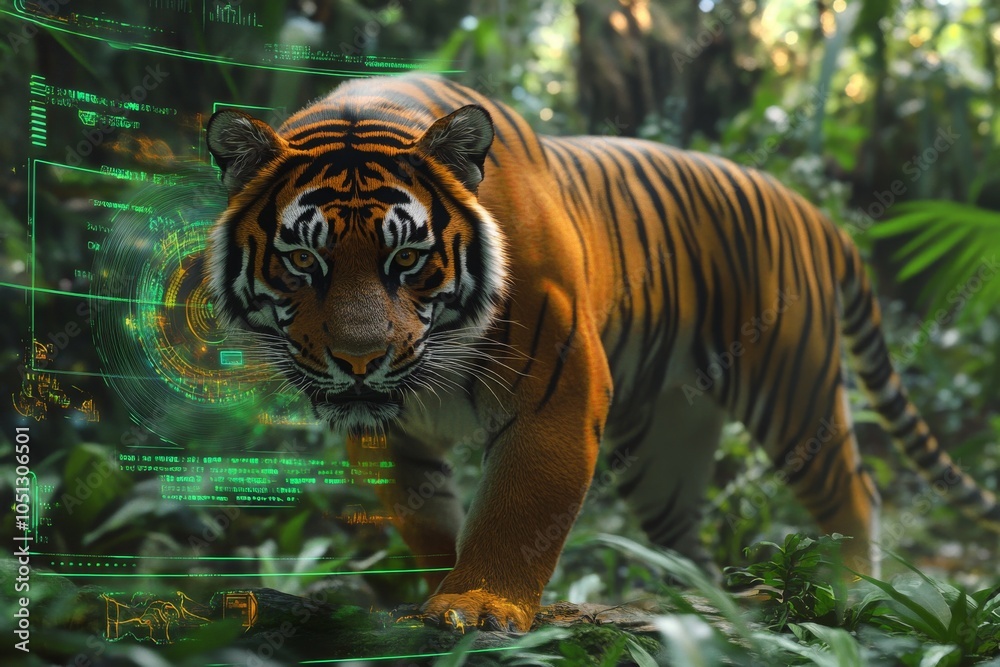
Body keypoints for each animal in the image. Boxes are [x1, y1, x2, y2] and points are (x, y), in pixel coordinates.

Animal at [204, 73, 1000, 633]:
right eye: (304, 260)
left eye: (407, 259)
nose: (360, 361)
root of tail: (816, 215)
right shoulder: (394, 436)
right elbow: (426, 518)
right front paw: (434, 591)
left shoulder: (558, 383)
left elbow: (522, 507)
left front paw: (478, 604)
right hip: (666, 446)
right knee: (686, 533)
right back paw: (696, 604)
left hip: (791, 386)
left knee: (852, 490)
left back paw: (847, 590)